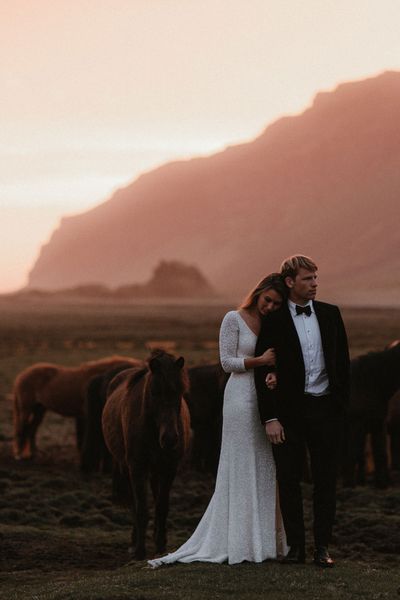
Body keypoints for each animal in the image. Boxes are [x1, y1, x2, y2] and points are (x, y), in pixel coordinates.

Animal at [12, 356, 144, 460]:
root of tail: (21, 375)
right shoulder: (85, 415)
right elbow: (82, 438)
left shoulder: (82, 416)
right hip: (26, 409)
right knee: (22, 429)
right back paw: (20, 454)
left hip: (39, 409)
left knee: (32, 429)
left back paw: (34, 454)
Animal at [102, 350, 191, 560]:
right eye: (154, 392)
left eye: (180, 393)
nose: (170, 438)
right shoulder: (137, 468)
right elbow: (141, 508)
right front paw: (139, 551)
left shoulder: (169, 469)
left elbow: (162, 507)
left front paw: (160, 546)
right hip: (128, 468)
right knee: (134, 504)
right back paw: (134, 541)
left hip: (156, 471)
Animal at [344, 342, 400, 488]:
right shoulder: (357, 425)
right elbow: (354, 453)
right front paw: (349, 485)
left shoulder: (377, 423)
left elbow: (380, 453)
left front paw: (381, 484)